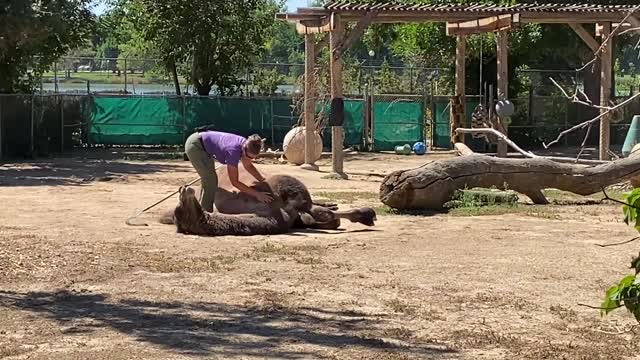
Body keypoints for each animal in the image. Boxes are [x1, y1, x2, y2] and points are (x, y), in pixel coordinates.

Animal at [162, 167, 378, 238]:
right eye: (179, 209)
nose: (184, 189)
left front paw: (368, 215)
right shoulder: (288, 210)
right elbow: (326, 215)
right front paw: (368, 215)